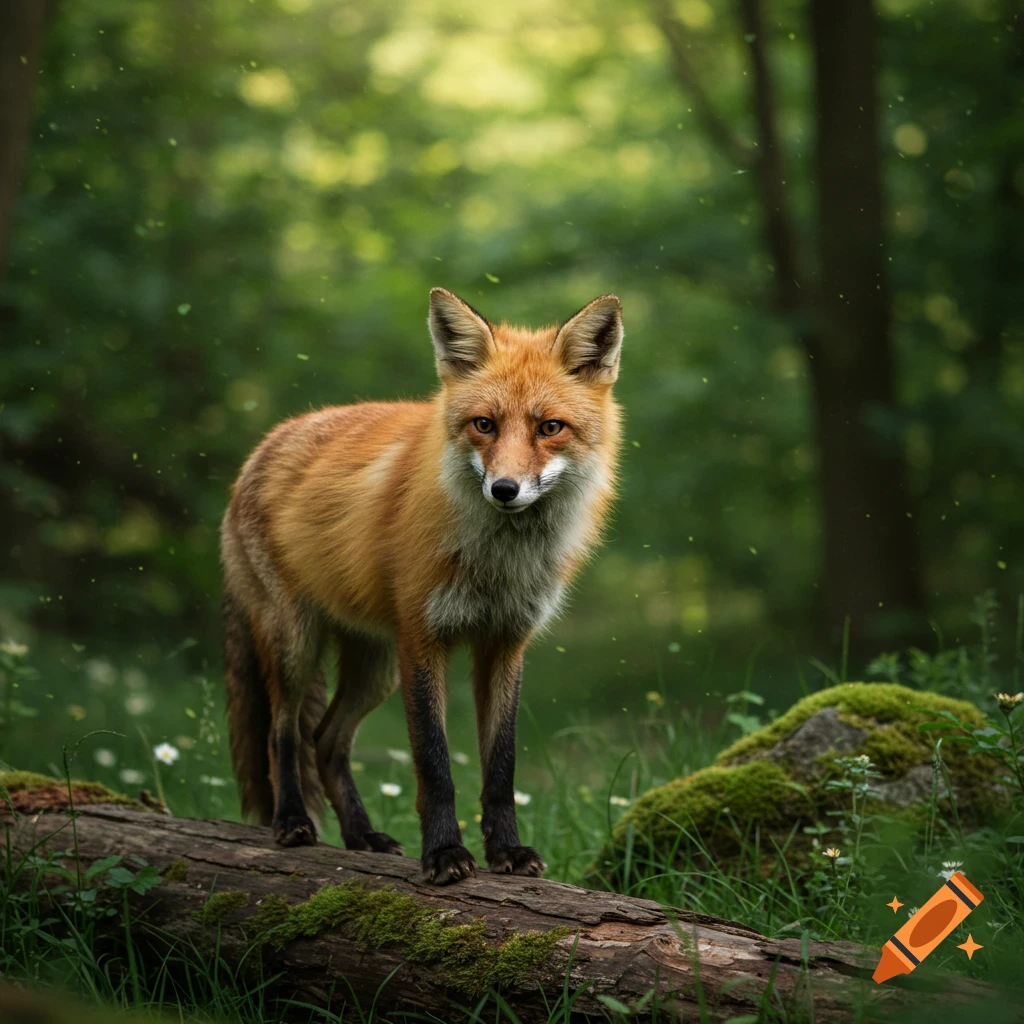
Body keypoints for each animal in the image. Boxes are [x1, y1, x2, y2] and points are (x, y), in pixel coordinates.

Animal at [220, 287, 624, 884]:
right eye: (484, 424)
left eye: (550, 428)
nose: (505, 489)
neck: (498, 564)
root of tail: (263, 445)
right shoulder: (422, 638)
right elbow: (434, 765)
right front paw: (444, 853)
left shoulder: (506, 642)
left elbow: (501, 766)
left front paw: (507, 851)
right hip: (297, 644)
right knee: (284, 733)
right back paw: (292, 821)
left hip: (375, 666)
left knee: (327, 741)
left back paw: (362, 836)